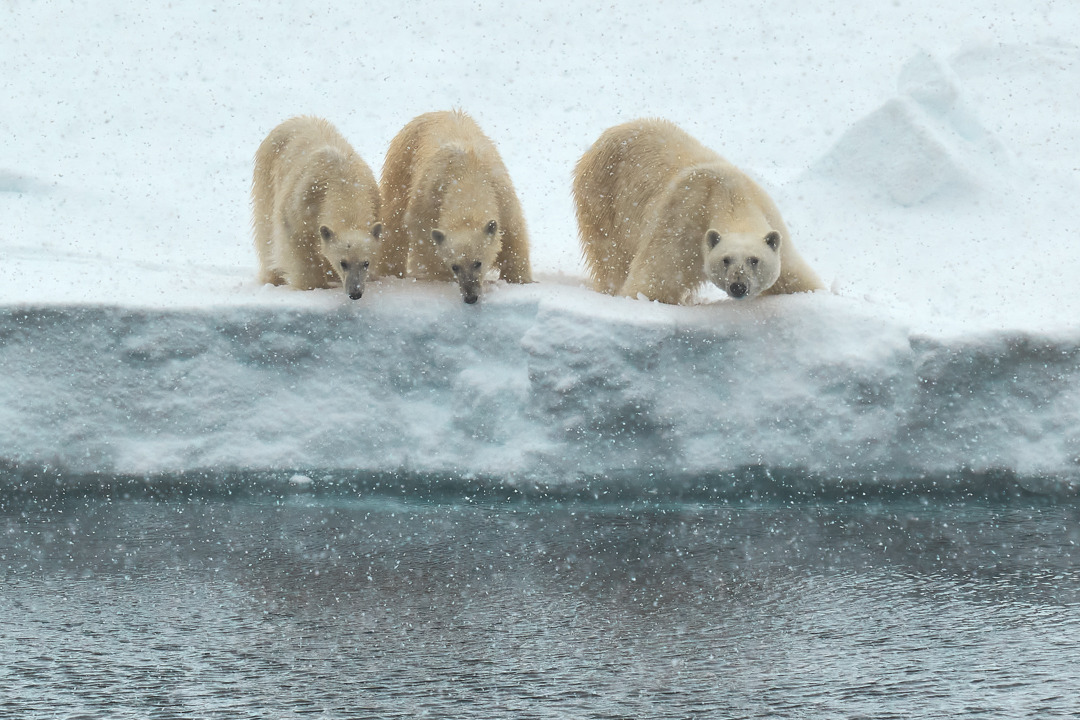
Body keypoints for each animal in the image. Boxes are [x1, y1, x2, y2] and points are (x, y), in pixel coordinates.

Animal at [251, 116, 383, 300]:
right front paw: (314, 286)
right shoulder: (302, 200)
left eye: (366, 262)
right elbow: (297, 241)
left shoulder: (373, 198)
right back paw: (273, 277)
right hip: (267, 173)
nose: (355, 292)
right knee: (266, 228)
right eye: (343, 263)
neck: (342, 181)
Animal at [377, 109, 532, 304]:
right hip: (402, 163)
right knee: (394, 221)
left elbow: (514, 238)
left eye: (478, 263)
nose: (470, 297)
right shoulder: (428, 203)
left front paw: (520, 280)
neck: (467, 176)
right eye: (455, 266)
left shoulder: (502, 195)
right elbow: (428, 249)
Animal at [573, 118, 824, 305]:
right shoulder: (681, 220)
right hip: (603, 198)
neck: (729, 196)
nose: (738, 286)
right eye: (725, 259)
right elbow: (655, 280)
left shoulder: (769, 218)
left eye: (754, 260)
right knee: (610, 257)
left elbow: (793, 275)